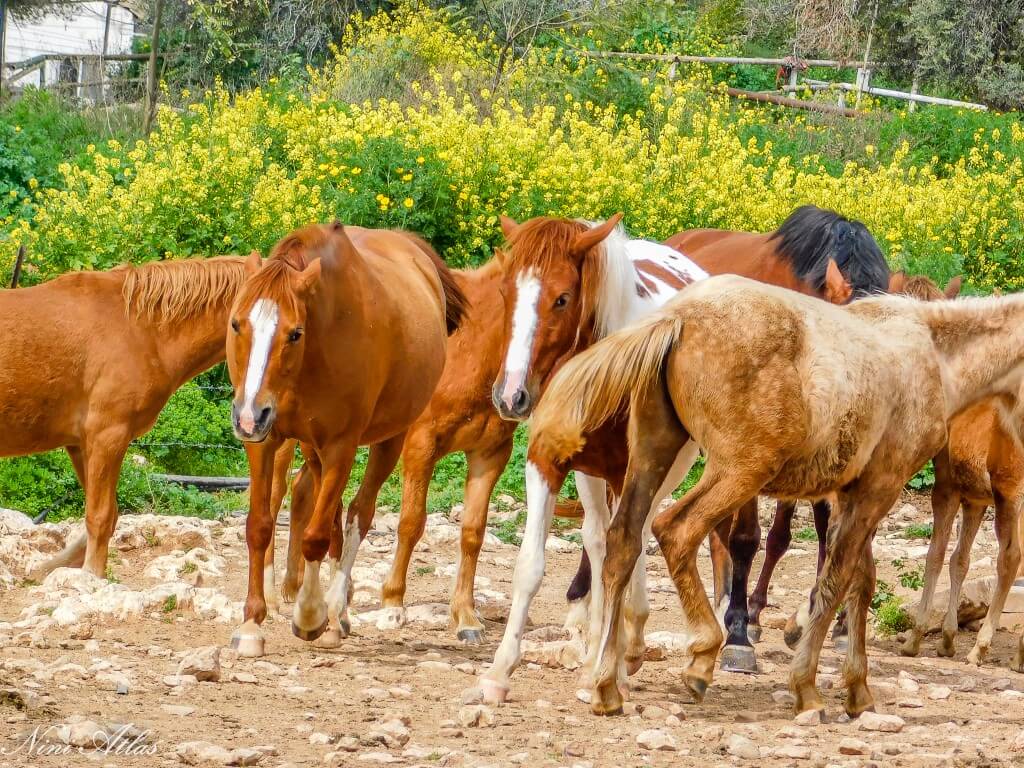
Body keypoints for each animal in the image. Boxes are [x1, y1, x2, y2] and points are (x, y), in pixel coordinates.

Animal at [228, 219, 468, 659]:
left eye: (294, 333)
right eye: (237, 324)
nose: (249, 414)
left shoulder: (341, 444)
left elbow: (316, 537)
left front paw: (310, 616)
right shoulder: (264, 440)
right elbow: (259, 526)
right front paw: (252, 623)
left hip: (388, 439)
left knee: (358, 514)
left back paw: (335, 613)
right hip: (310, 448)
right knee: (327, 507)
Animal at [532, 276, 1024, 720]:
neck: (933, 357)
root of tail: (677, 317)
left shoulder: (852, 494)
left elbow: (861, 582)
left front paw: (858, 690)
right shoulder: (879, 488)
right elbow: (837, 580)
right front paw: (807, 688)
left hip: (655, 452)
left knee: (622, 542)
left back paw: (605, 686)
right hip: (740, 470)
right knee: (676, 530)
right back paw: (702, 656)